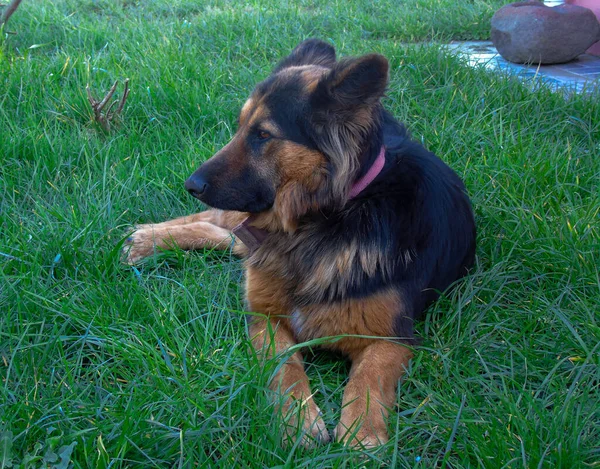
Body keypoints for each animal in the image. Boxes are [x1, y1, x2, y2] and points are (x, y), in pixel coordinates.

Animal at [124, 39, 476, 446]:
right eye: (240, 126)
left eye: (263, 134)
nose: (191, 185)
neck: (323, 221)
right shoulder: (265, 316)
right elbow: (285, 368)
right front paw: (299, 422)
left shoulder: (392, 337)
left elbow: (369, 378)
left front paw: (362, 436)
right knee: (215, 222)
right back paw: (143, 239)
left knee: (221, 232)